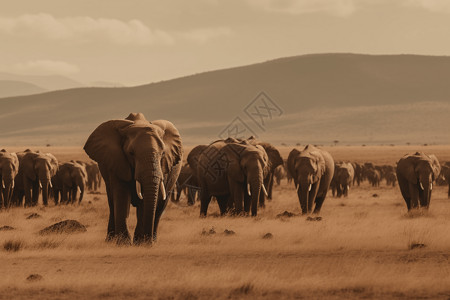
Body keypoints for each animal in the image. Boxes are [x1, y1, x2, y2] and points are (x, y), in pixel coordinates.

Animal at [84, 112, 183, 244]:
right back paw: (110, 240)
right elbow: (121, 195)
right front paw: (123, 243)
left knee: (160, 207)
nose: (148, 242)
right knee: (112, 202)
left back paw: (153, 239)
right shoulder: (116, 161)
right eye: (131, 153)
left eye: (162, 154)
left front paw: (141, 242)